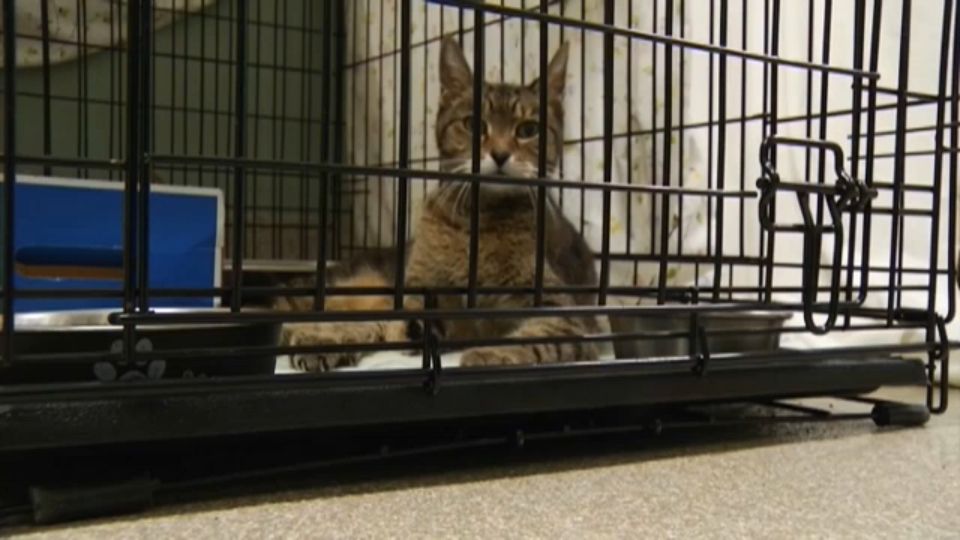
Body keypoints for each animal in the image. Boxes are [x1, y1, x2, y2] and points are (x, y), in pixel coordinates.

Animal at [278, 37, 604, 372]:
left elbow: (539, 337)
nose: (500, 154)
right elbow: (389, 323)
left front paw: (490, 354)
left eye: (528, 130)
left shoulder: (565, 314)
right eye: (473, 124)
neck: (479, 219)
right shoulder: (421, 298)